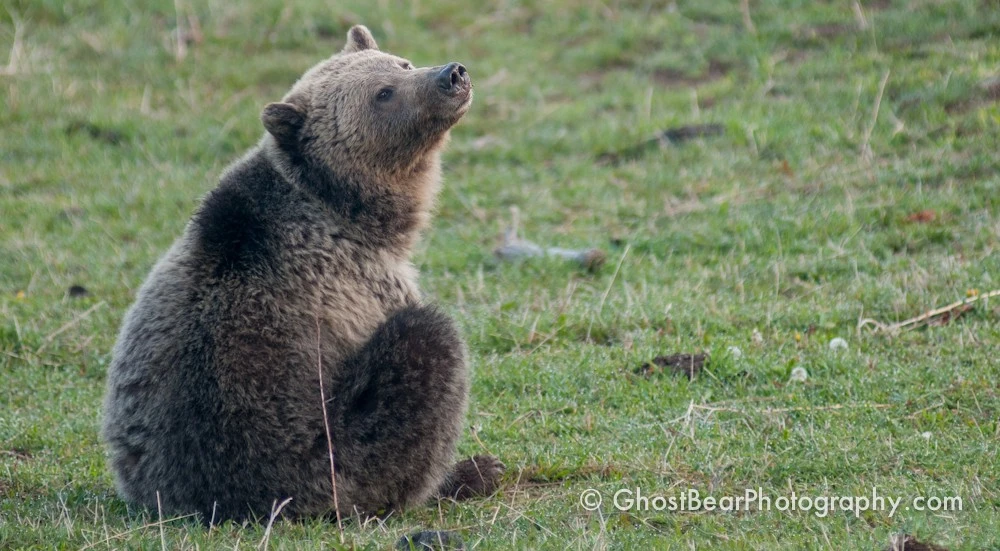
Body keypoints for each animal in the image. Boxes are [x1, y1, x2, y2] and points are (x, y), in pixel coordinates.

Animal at [100, 25, 504, 524]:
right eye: (383, 93)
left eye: (402, 63)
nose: (451, 74)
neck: (352, 208)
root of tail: (223, 501)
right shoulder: (366, 279)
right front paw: (470, 468)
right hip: (325, 455)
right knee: (428, 347)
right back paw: (466, 475)